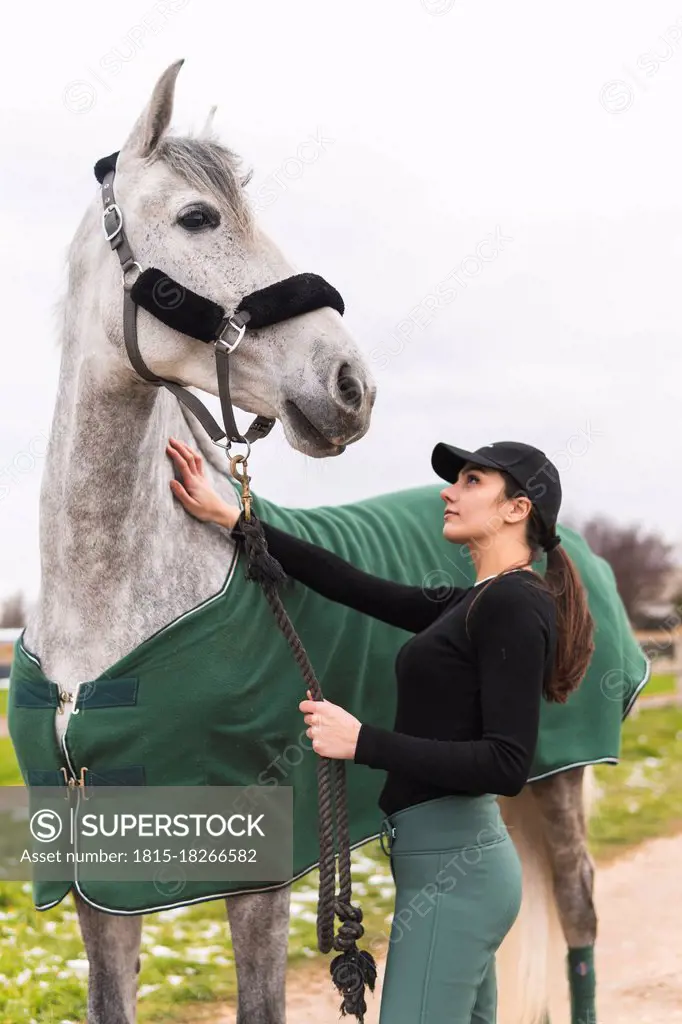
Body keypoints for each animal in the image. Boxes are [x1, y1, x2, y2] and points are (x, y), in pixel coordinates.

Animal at [11, 58, 643, 1024]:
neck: (107, 613)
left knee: (578, 930)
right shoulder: (101, 890)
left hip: (560, 787)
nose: (352, 385)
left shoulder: (260, 881)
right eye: (198, 218)